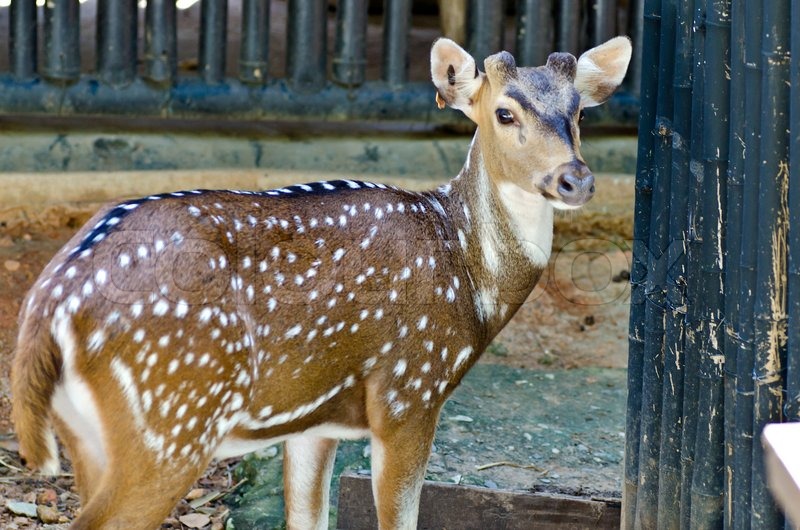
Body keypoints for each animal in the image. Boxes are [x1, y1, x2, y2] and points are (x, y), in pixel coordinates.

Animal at [11, 36, 631, 530]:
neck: (466, 272)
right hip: (174, 422)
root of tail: (50, 307)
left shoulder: (314, 421)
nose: (575, 180)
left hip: (88, 434)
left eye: (579, 112)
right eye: (504, 113)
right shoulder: (409, 391)